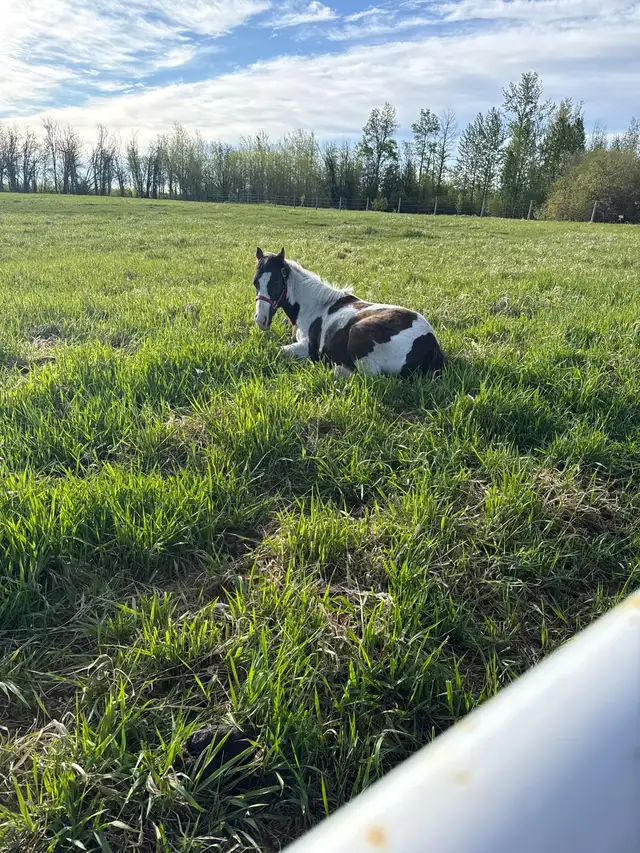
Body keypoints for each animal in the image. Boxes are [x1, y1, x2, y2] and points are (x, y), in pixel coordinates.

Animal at [253, 247, 444, 377]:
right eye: (255, 282)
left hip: (358, 334)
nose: (261, 320)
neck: (313, 306)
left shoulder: (307, 348)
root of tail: (430, 342)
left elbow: (277, 351)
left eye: (276, 282)